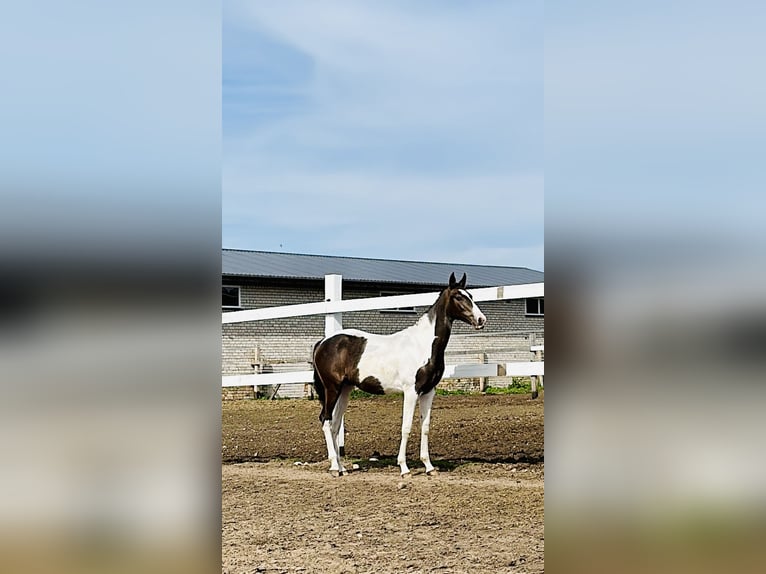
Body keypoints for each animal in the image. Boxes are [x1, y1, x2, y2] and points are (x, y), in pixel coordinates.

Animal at [310, 274, 486, 476]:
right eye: (458, 296)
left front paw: (429, 467)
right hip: (332, 388)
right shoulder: (411, 392)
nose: (481, 320)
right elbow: (406, 427)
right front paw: (404, 468)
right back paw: (333, 467)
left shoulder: (429, 392)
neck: (422, 345)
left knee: (336, 424)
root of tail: (323, 342)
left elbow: (425, 427)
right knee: (326, 420)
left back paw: (342, 468)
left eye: (471, 295)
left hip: (345, 389)